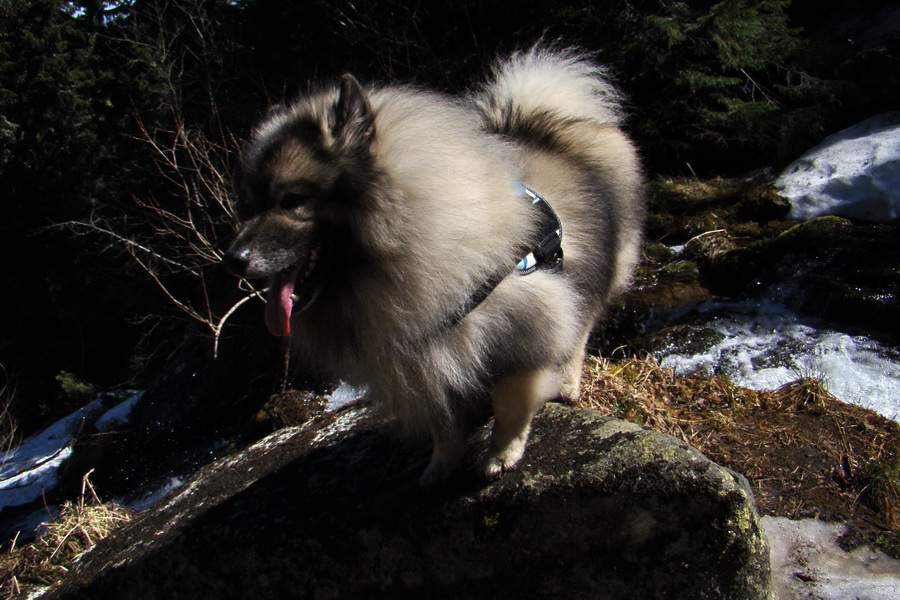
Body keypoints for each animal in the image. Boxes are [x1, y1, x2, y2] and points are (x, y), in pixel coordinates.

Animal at [225, 48, 648, 488]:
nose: (232, 259)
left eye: (292, 201)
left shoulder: (530, 328)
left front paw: (501, 453)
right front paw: (441, 466)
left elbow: (511, 400)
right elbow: (444, 424)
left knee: (583, 328)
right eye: (249, 206)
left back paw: (566, 383)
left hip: (601, 268)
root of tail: (551, 118)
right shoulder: (424, 367)